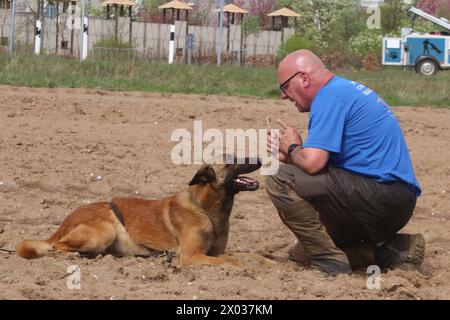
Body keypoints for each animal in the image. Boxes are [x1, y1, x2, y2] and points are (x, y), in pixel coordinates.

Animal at [16, 158, 260, 268]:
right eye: (233, 161)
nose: (258, 158)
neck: (207, 209)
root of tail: (64, 223)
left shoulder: (214, 252)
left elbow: (243, 256)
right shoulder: (192, 256)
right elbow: (233, 261)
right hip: (105, 231)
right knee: (57, 247)